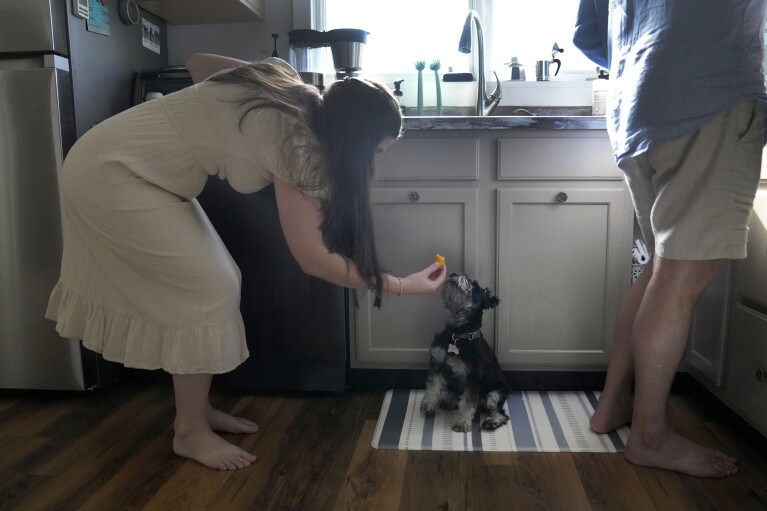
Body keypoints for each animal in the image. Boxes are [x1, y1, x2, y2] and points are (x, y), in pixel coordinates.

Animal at [420, 272, 510, 432]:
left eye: (474, 284)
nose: (453, 274)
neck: (458, 334)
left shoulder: (472, 377)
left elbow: (468, 402)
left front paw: (462, 422)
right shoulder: (437, 363)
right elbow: (432, 385)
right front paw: (428, 404)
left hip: (495, 394)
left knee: (500, 412)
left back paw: (492, 421)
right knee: (450, 396)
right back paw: (447, 402)